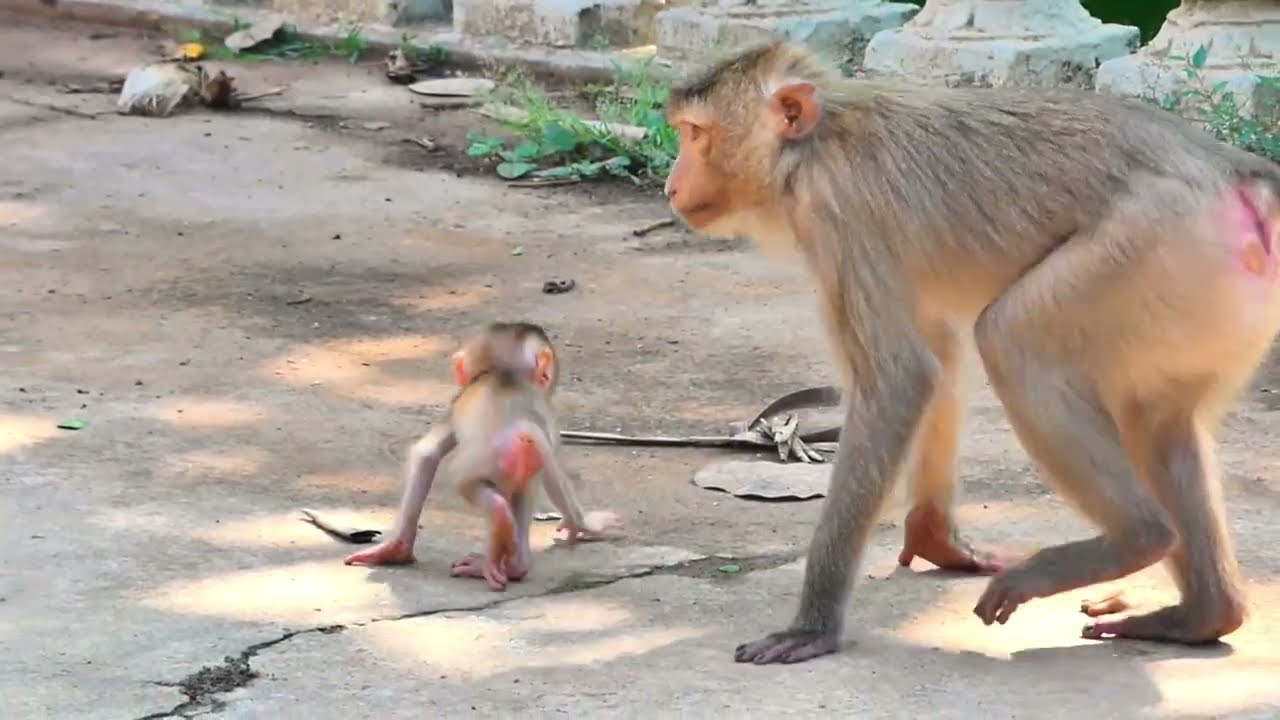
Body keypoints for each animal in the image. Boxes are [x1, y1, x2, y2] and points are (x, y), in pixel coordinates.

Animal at [343, 323, 623, 590]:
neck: (503, 372)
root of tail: (520, 428)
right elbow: (555, 479)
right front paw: (584, 524)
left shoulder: (456, 404)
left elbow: (426, 454)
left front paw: (396, 549)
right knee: (525, 491)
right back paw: (516, 565)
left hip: (476, 469)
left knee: (493, 497)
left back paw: (489, 557)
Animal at [662, 41, 1280, 664]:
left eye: (695, 134)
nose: (670, 184)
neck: (815, 145)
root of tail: (1235, 174)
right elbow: (937, 354)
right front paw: (940, 543)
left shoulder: (839, 213)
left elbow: (899, 380)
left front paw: (814, 625)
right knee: (1155, 423)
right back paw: (1203, 614)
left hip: (1151, 249)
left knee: (1011, 341)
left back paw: (1137, 538)